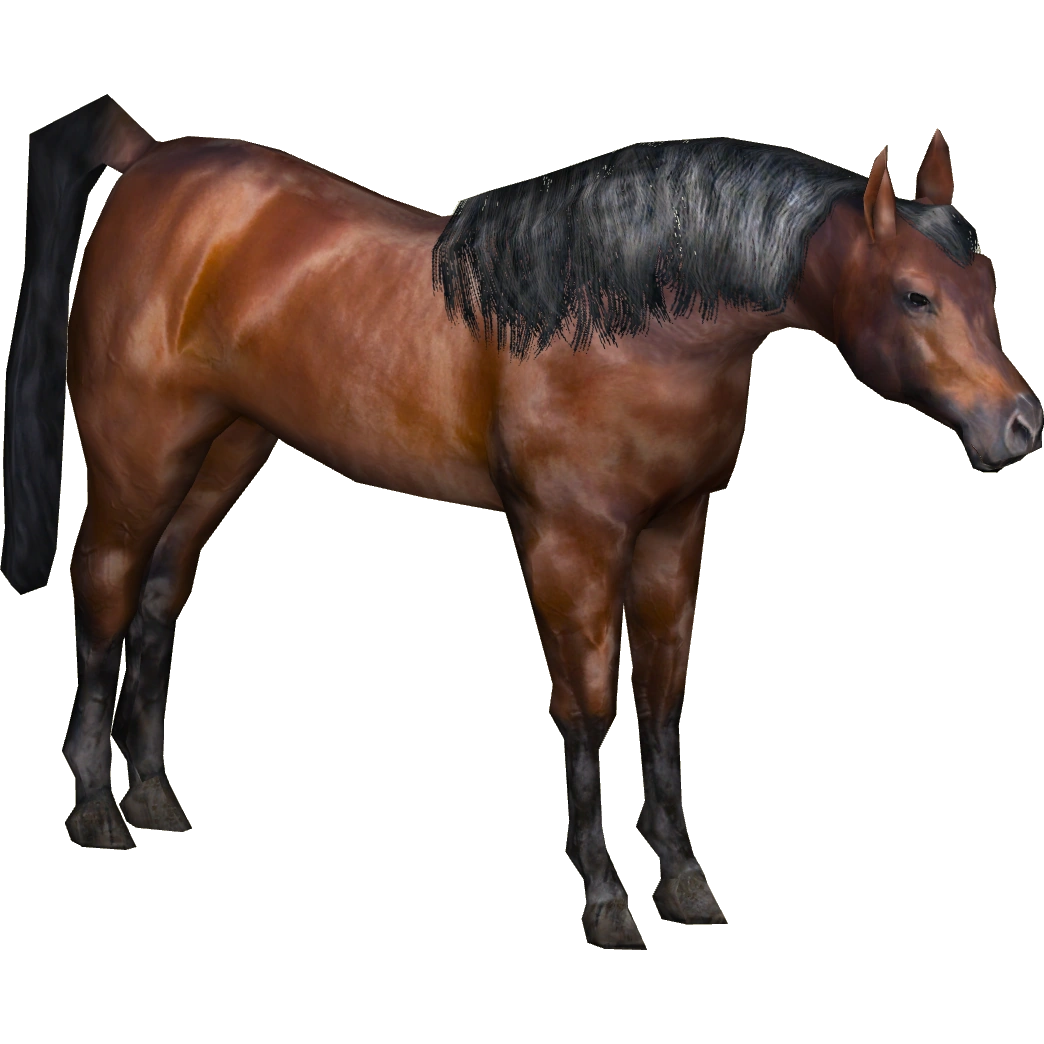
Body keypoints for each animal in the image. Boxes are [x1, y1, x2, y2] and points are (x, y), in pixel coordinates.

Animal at [2, 96, 1039, 951]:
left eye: (989, 282)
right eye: (914, 294)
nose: (1019, 427)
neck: (631, 325)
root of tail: (150, 161)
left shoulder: (674, 535)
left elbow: (663, 705)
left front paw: (686, 883)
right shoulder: (567, 544)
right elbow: (587, 708)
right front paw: (607, 899)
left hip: (224, 456)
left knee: (158, 600)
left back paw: (152, 796)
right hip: (140, 462)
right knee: (103, 593)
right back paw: (95, 813)